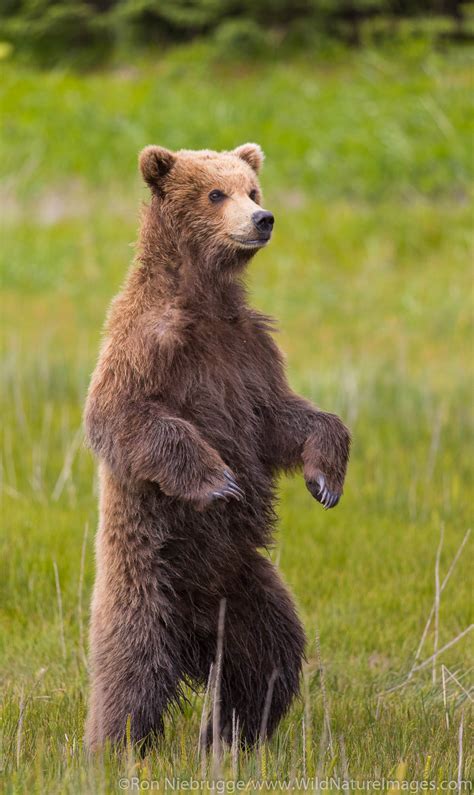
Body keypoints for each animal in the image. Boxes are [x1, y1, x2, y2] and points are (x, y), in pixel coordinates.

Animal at [84, 145, 352, 752]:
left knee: (268, 659)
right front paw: (218, 480)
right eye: (214, 193)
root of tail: (195, 634)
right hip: (148, 577)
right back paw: (115, 746)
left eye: (251, 189)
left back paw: (230, 738)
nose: (263, 219)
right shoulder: (145, 347)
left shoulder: (248, 354)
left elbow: (283, 419)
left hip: (247, 588)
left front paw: (325, 479)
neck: (202, 300)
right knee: (132, 667)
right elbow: (121, 417)